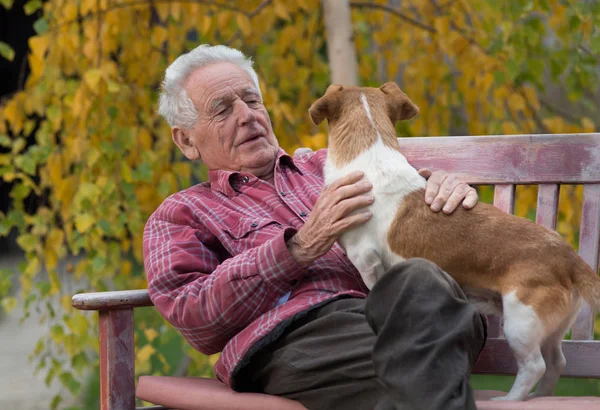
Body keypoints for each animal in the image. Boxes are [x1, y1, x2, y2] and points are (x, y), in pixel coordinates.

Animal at [310, 82, 600, 400]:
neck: (373, 158)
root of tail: (569, 257)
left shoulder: (365, 257)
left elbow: (372, 285)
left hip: (521, 322)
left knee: (535, 366)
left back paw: (510, 400)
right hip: (549, 330)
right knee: (556, 362)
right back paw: (537, 398)